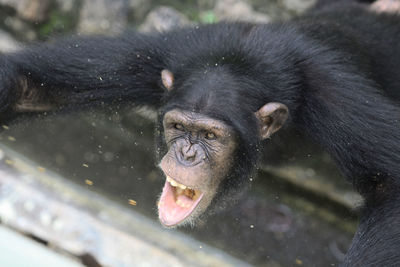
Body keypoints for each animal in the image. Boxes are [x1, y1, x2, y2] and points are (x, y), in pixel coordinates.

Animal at [0, 0, 400, 266]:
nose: (186, 154)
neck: (242, 61)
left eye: (210, 137)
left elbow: (390, 185)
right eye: (179, 127)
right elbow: (31, 87)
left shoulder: (330, 92)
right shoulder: (157, 56)